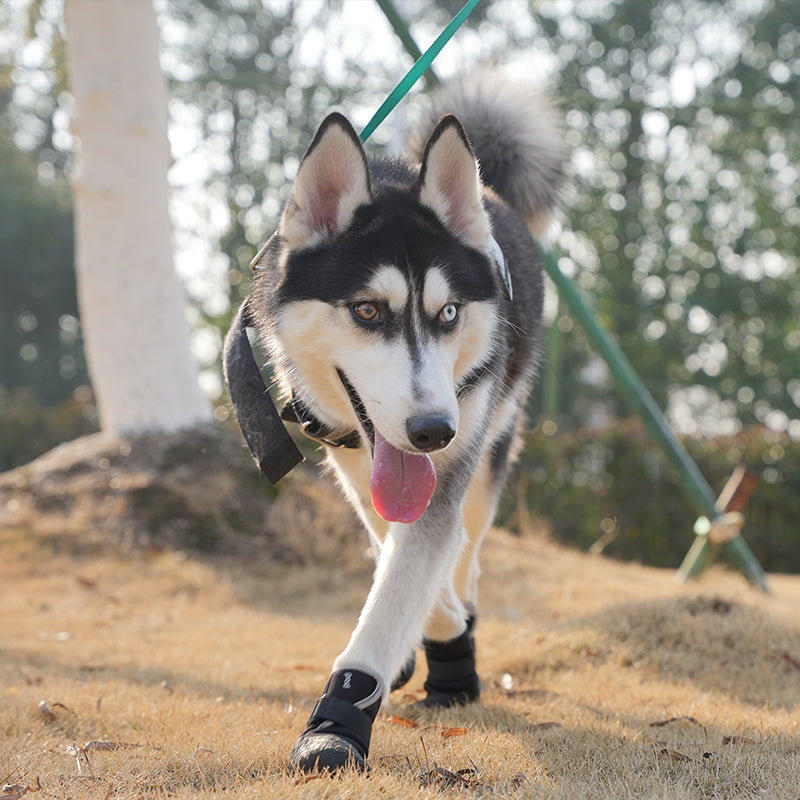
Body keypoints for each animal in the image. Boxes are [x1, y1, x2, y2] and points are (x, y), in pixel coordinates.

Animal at [222, 70, 564, 776]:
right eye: (368, 311)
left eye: (450, 312)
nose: (435, 431)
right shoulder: (355, 459)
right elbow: (394, 554)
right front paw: (429, 646)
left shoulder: (449, 462)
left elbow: (411, 574)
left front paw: (345, 717)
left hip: (491, 446)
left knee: (470, 547)